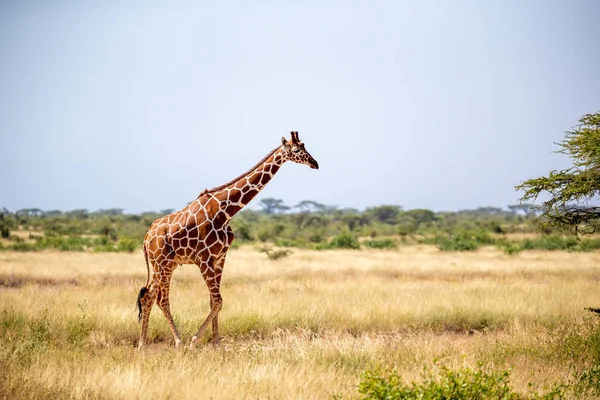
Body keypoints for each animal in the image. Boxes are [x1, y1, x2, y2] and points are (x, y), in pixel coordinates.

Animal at [136, 130, 318, 348]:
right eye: (297, 150)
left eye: (305, 146)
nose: (315, 163)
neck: (225, 211)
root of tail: (146, 237)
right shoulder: (204, 259)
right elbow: (218, 301)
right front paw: (195, 340)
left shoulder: (220, 258)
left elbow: (214, 301)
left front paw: (216, 343)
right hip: (162, 263)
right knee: (161, 299)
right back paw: (178, 341)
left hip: (163, 265)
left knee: (147, 296)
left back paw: (142, 344)